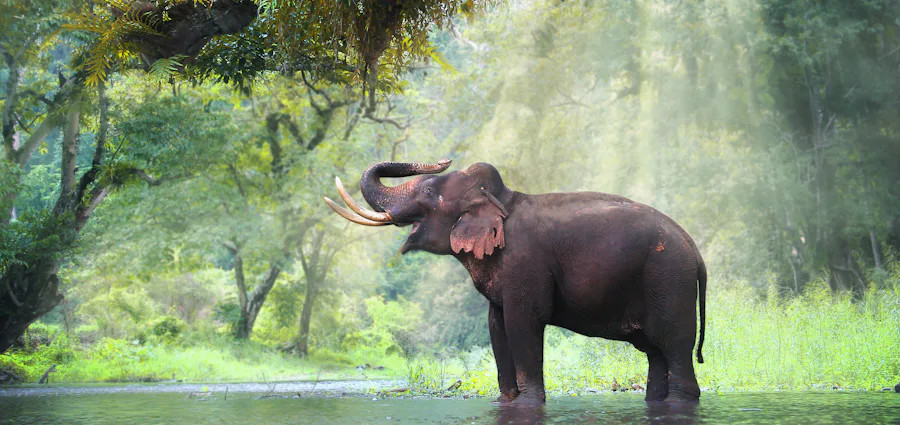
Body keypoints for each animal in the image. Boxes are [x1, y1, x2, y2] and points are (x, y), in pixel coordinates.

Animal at [324, 159, 707, 405]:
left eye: (430, 190)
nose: (442, 159)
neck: (502, 199)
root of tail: (696, 252)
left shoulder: (526, 264)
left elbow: (524, 322)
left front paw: (529, 402)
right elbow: (496, 326)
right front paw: (506, 400)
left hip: (669, 281)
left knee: (674, 346)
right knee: (656, 353)